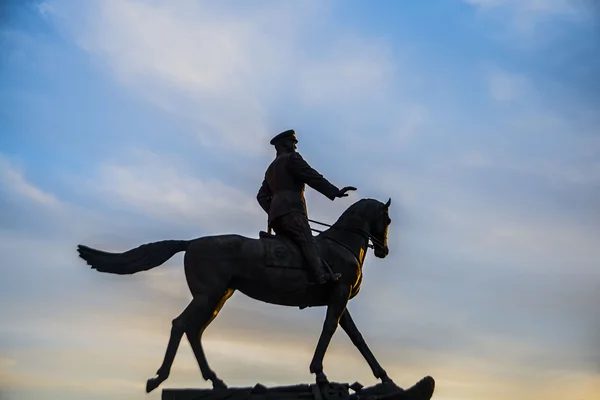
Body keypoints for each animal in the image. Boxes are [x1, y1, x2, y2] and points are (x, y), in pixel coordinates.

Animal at [76, 198, 394, 394]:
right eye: (387, 218)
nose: (383, 250)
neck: (342, 244)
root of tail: (191, 243)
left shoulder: (338, 299)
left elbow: (356, 337)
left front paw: (385, 377)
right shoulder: (338, 294)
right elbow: (330, 330)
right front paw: (320, 373)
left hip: (219, 297)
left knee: (194, 330)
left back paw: (215, 381)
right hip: (208, 295)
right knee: (181, 325)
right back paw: (159, 378)